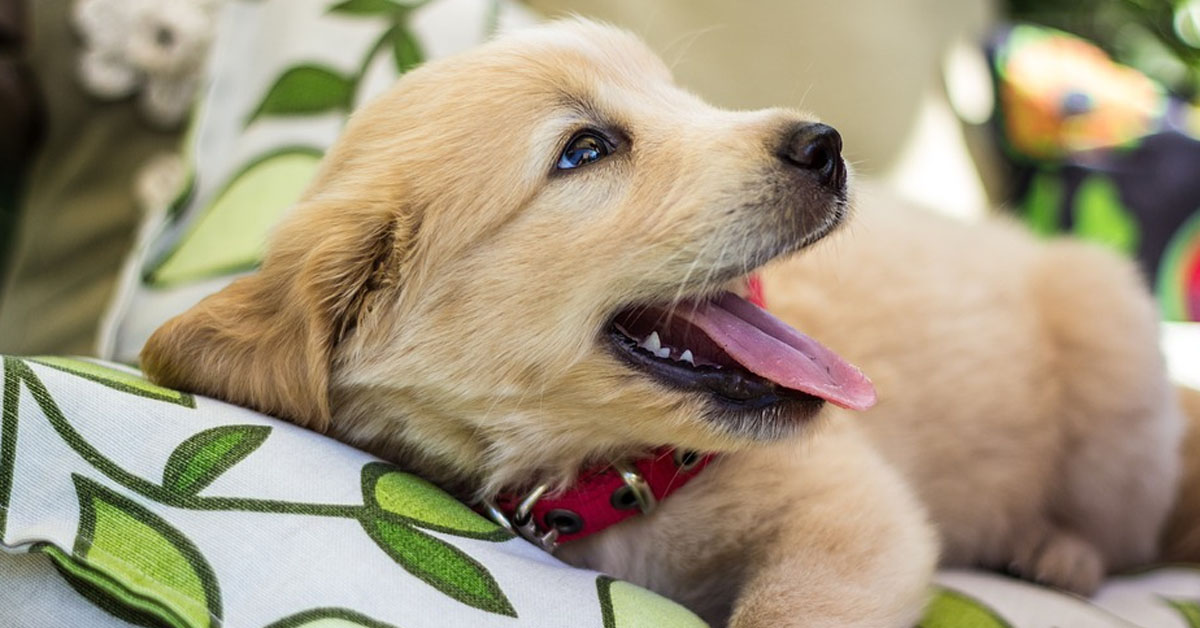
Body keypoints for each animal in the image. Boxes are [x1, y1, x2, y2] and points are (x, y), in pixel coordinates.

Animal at [140, 18, 1180, 624]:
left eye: (681, 98)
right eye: (584, 150)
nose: (827, 145)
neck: (618, 478)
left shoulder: (854, 515)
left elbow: (790, 612)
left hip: (1116, 391)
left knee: (1144, 525)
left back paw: (1056, 551)